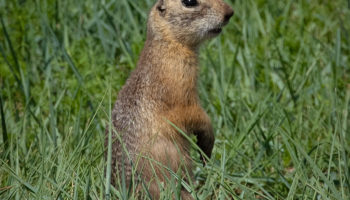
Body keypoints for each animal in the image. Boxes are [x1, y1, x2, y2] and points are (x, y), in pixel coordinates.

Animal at [105, 0, 234, 198]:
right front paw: (207, 145)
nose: (230, 12)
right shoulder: (180, 86)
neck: (168, 44)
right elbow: (193, 112)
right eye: (189, 2)